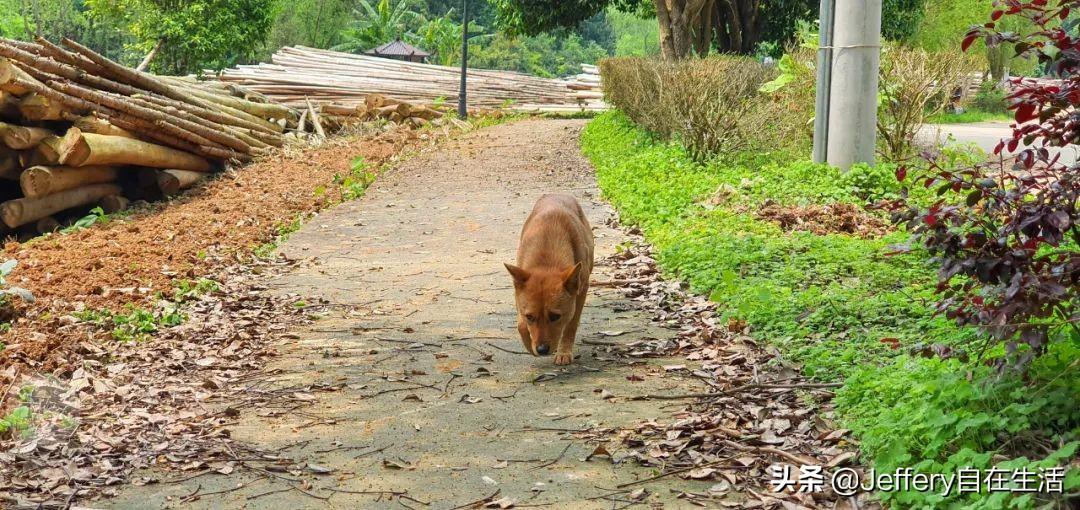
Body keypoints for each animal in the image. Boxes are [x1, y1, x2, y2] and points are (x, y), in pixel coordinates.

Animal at [503, 193, 596, 365]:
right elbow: (521, 325)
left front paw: (564, 351)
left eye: (555, 317)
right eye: (530, 317)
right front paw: (528, 345)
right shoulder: (518, 293)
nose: (541, 350)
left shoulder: (581, 290)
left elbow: (571, 324)